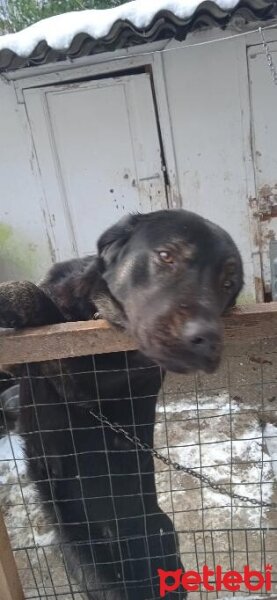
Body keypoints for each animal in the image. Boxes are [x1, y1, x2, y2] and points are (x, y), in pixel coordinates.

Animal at [0, 211, 242, 600]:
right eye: (166, 256)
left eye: (228, 283)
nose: (205, 338)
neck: (94, 308)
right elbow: (45, 298)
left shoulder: (73, 371)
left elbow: (47, 309)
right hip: (86, 566)